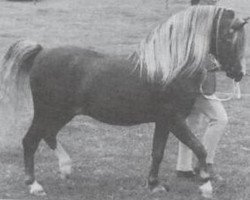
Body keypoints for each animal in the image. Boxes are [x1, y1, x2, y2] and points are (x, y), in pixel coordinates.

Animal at [0, 5, 246, 196]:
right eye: (228, 35)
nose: (239, 73)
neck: (170, 69)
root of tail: (41, 53)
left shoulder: (163, 122)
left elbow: (158, 152)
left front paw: (154, 185)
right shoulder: (175, 120)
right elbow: (199, 147)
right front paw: (206, 186)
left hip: (62, 113)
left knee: (48, 135)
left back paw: (66, 168)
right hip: (47, 112)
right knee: (30, 141)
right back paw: (34, 185)